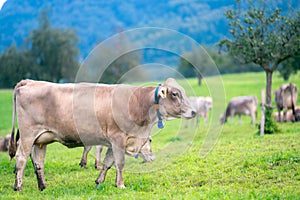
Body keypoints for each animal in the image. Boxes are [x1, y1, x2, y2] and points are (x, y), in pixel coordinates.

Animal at [9, 77, 196, 191]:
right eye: (175, 94)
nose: (194, 111)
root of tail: (29, 82)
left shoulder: (114, 142)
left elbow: (108, 162)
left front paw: (100, 181)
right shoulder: (118, 138)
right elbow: (119, 163)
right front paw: (120, 184)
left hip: (41, 140)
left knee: (38, 162)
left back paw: (43, 186)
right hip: (27, 135)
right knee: (21, 158)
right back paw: (18, 187)